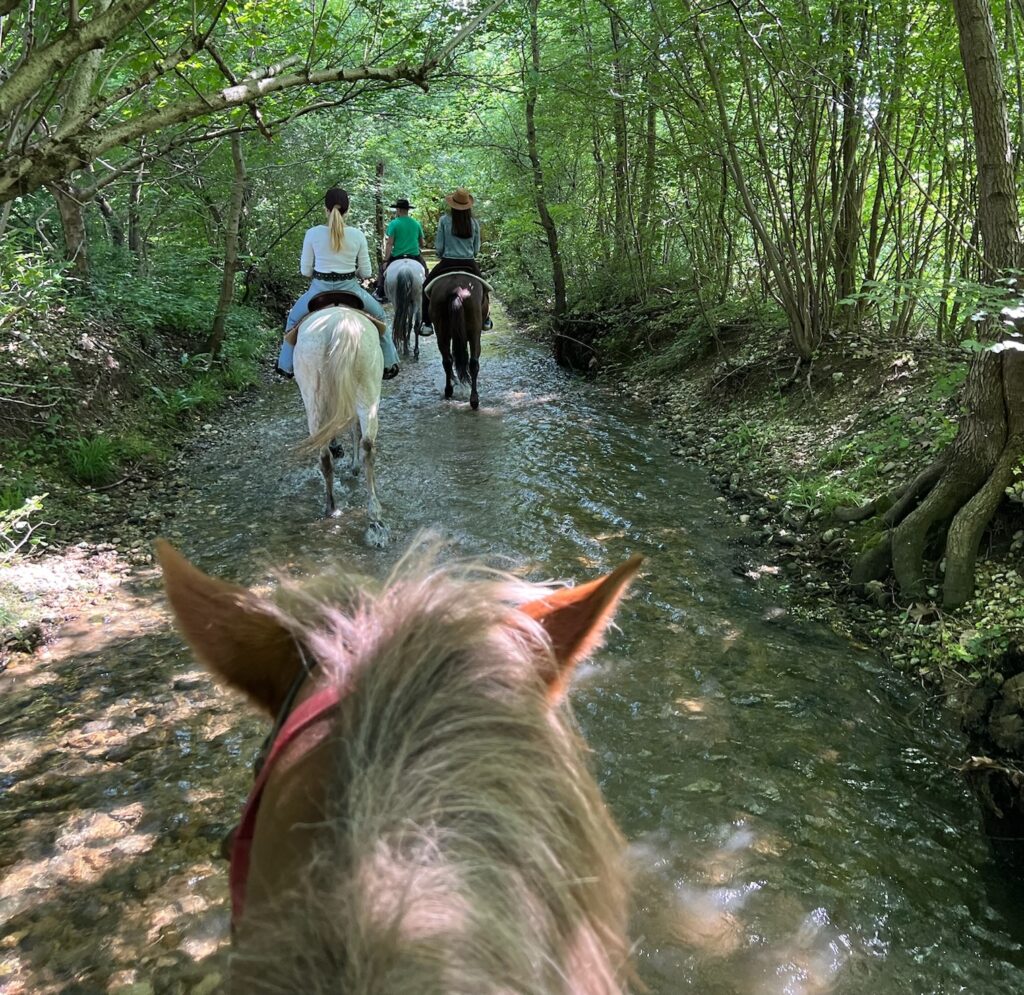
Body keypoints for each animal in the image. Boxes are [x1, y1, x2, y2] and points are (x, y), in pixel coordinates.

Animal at [292, 304, 386, 542]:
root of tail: (339, 324)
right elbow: (353, 430)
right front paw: (352, 464)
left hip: (315, 401)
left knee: (327, 452)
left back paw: (334, 507)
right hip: (368, 394)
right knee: (366, 446)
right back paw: (372, 515)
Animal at [428, 272, 484, 410]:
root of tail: (456, 290)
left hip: (441, 332)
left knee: (447, 361)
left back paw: (451, 392)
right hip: (475, 332)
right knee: (473, 363)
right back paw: (472, 399)